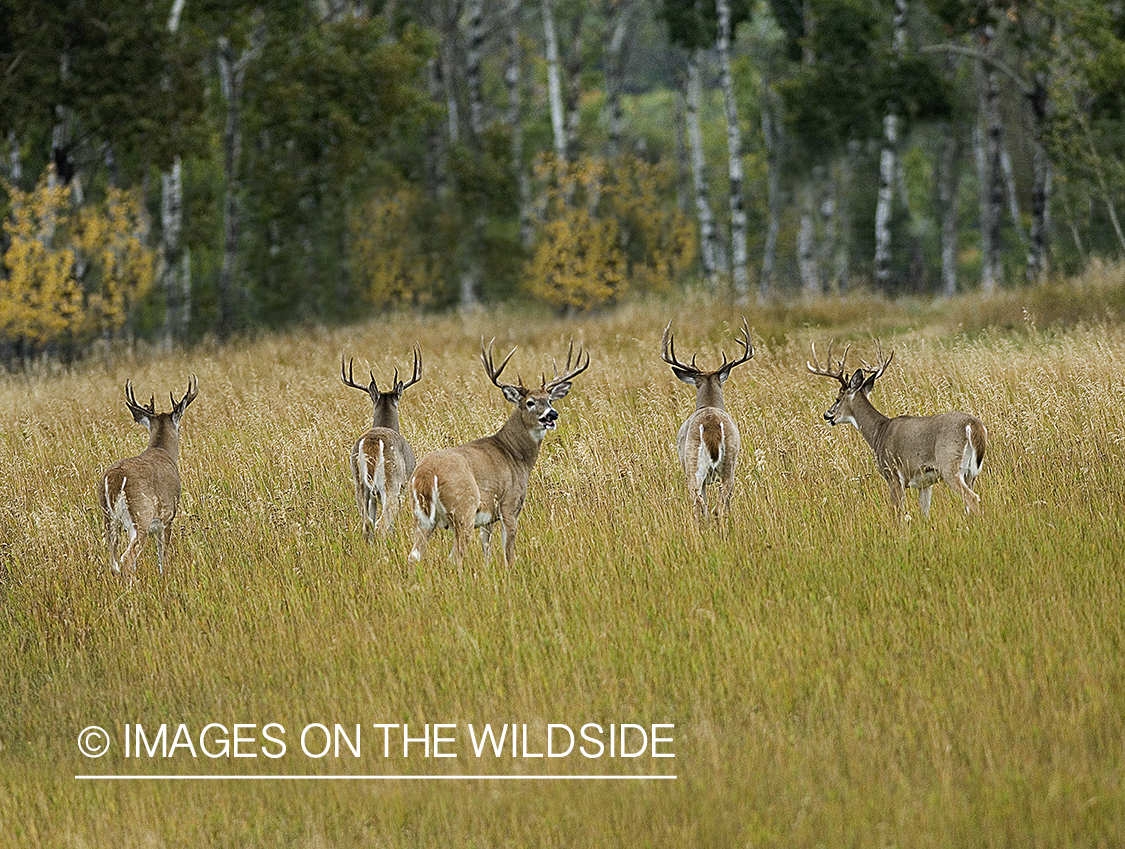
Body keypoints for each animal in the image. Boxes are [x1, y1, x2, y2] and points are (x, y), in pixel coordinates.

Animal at [97, 377, 199, 575]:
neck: (162, 451)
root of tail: (114, 479)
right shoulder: (168, 516)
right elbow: (163, 556)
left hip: (109, 519)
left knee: (114, 561)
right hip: (140, 515)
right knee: (127, 558)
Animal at [342, 346, 423, 537]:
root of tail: (371, 443)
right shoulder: (403, 487)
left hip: (360, 486)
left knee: (367, 524)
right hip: (391, 483)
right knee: (381, 524)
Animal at [411, 339, 589, 571]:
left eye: (550, 399)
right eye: (530, 402)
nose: (552, 414)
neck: (515, 454)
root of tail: (424, 475)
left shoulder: (487, 518)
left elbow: (487, 550)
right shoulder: (509, 505)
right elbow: (508, 553)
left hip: (422, 517)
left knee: (414, 556)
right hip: (463, 509)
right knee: (455, 556)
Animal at [810, 344, 985, 517]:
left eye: (837, 399)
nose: (827, 415)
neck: (878, 433)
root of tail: (973, 425)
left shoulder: (893, 475)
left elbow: (897, 512)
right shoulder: (924, 482)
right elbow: (924, 513)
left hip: (949, 464)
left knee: (972, 498)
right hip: (971, 473)